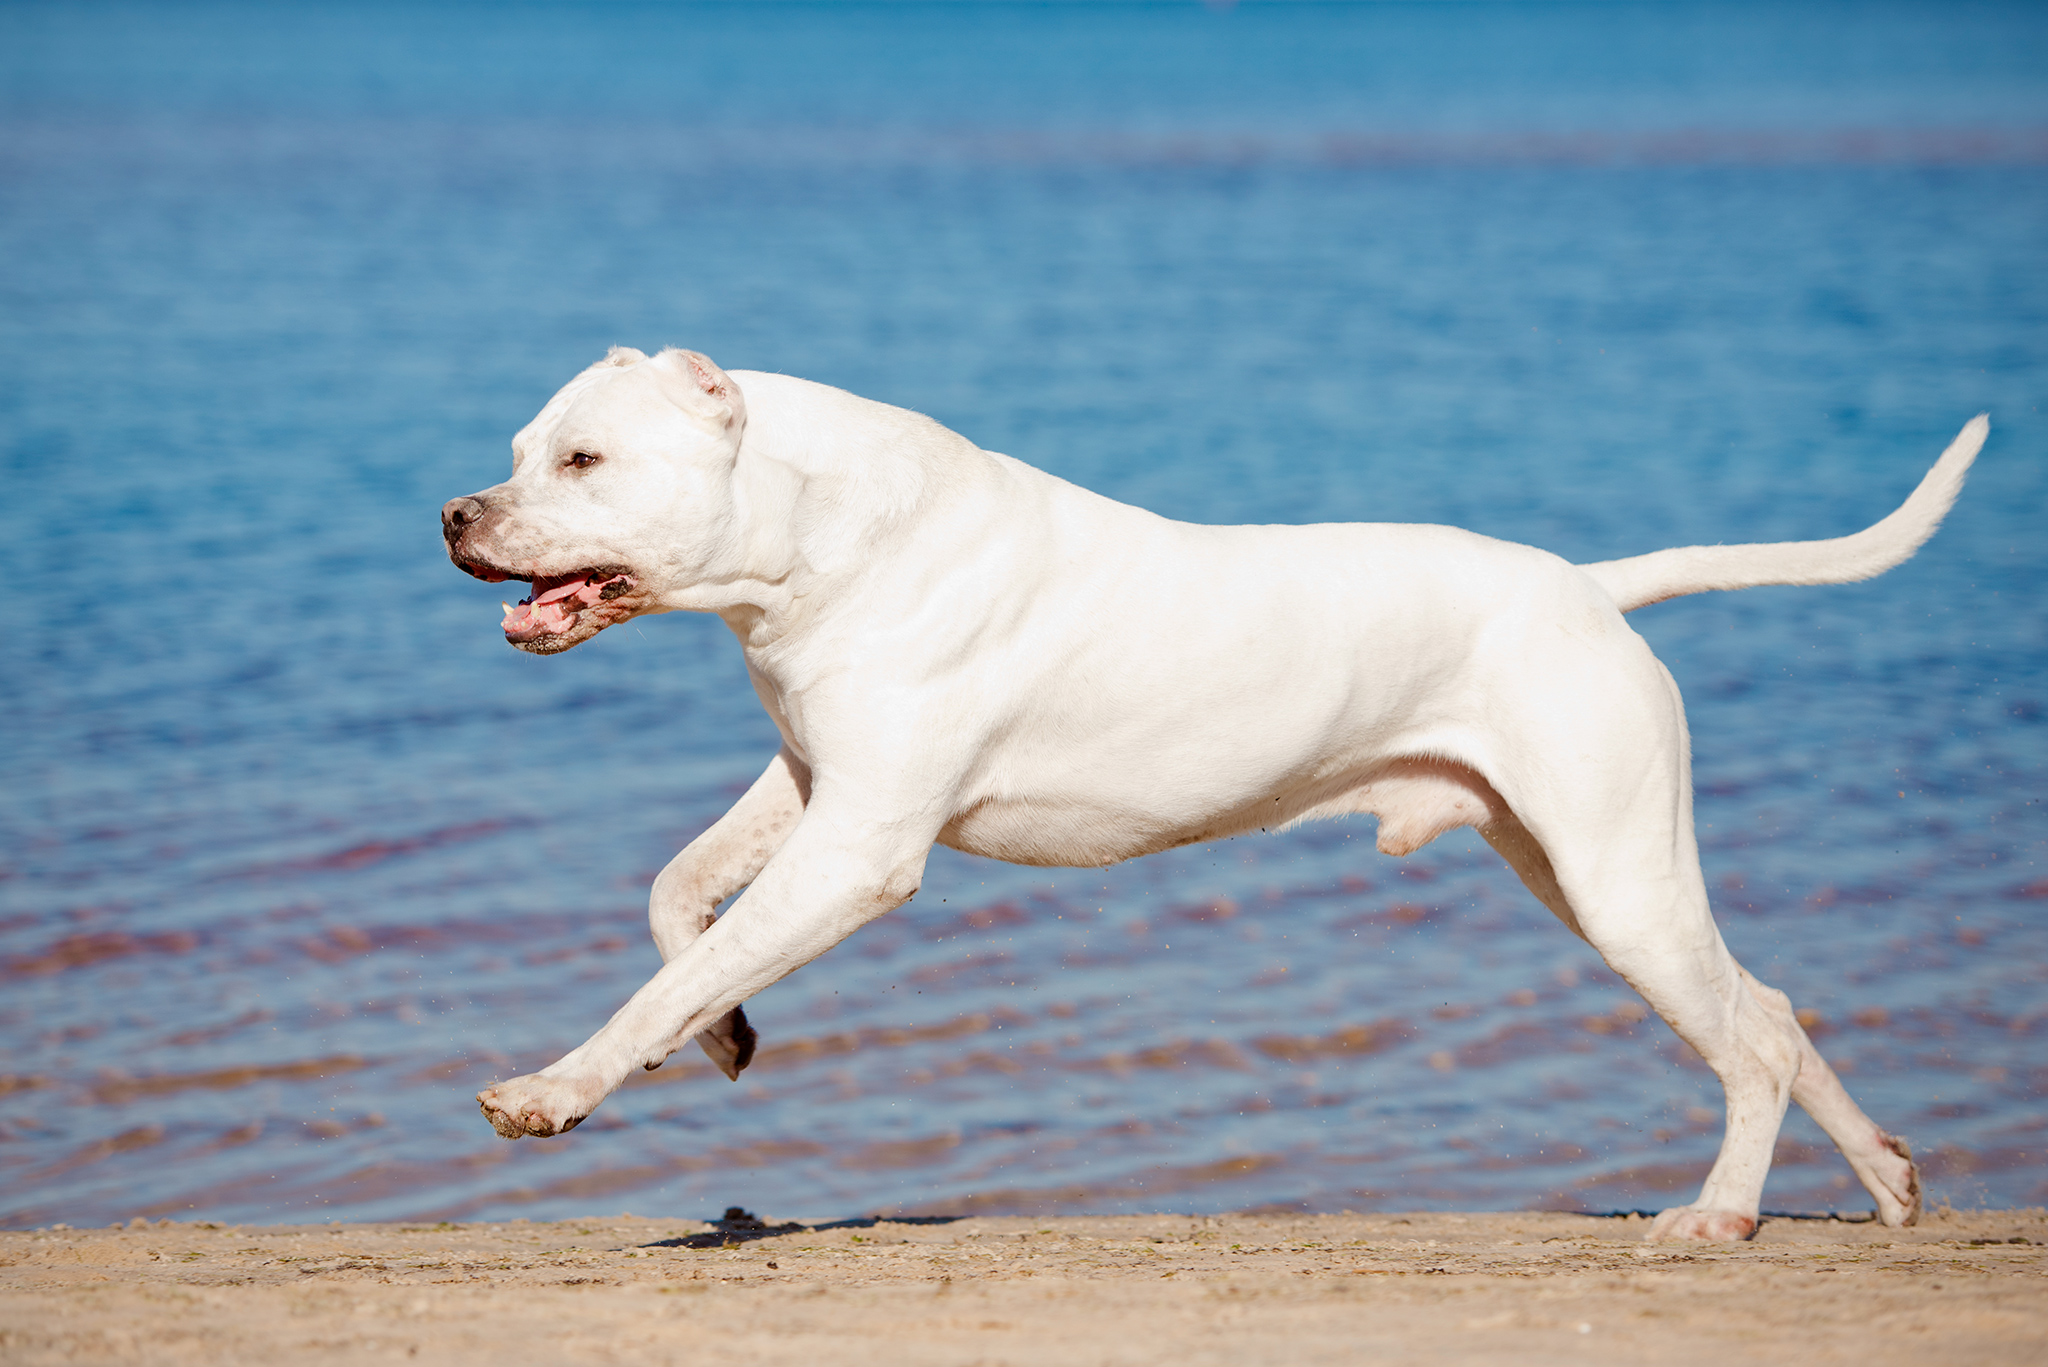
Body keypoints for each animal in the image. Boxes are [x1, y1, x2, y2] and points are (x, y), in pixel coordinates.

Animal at [436, 348, 1982, 1246]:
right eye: (516, 449)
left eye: (581, 459)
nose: (455, 513)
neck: (819, 540)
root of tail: (1590, 590)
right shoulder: (814, 782)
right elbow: (678, 904)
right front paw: (723, 1032)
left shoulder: (862, 843)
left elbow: (665, 969)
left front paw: (555, 1089)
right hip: (1585, 869)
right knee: (1767, 1009)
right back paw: (1886, 1180)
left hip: (1616, 881)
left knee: (1749, 1038)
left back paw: (1716, 1217)